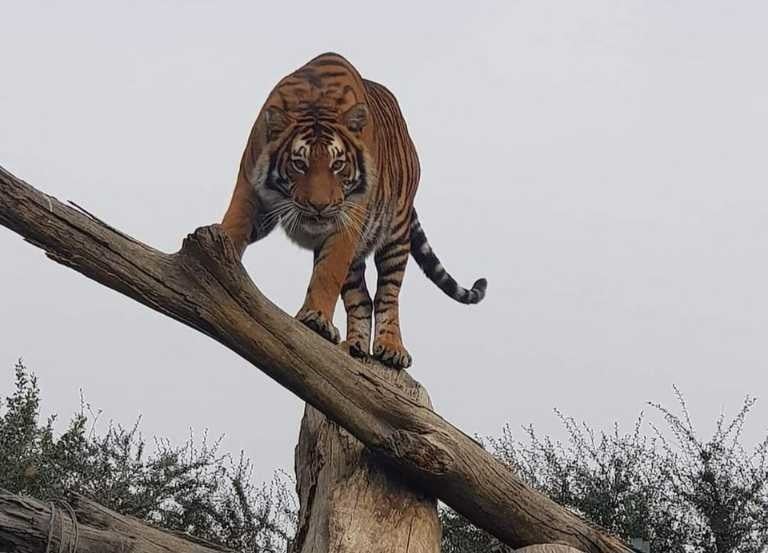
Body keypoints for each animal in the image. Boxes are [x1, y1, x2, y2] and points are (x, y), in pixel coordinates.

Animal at [221, 52, 486, 369]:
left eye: (337, 165)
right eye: (299, 164)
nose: (319, 206)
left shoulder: (346, 221)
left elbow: (327, 274)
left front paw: (316, 320)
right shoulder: (250, 190)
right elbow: (234, 226)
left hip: (396, 235)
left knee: (387, 295)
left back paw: (391, 348)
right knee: (362, 299)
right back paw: (354, 346)